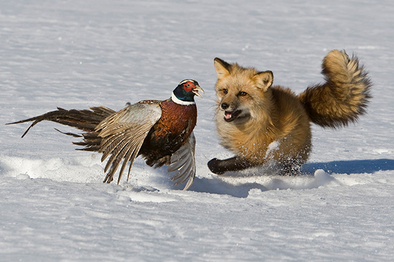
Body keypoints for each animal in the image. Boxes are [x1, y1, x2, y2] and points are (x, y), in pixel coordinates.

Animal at [208, 50, 370, 175]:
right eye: (225, 91)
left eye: (242, 93)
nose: (224, 105)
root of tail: (300, 102)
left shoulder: (257, 154)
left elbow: (223, 164)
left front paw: (216, 165)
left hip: (291, 157)